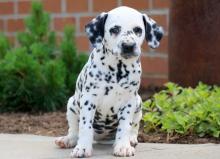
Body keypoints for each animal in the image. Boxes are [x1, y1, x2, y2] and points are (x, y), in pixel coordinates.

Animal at [55, 5, 163, 158]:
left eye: (138, 30)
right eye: (115, 29)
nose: (128, 46)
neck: (118, 69)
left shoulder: (128, 102)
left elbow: (125, 126)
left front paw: (123, 146)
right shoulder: (89, 100)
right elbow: (85, 126)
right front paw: (82, 148)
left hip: (139, 103)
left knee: (134, 126)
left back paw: (131, 139)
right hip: (72, 104)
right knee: (74, 129)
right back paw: (68, 140)